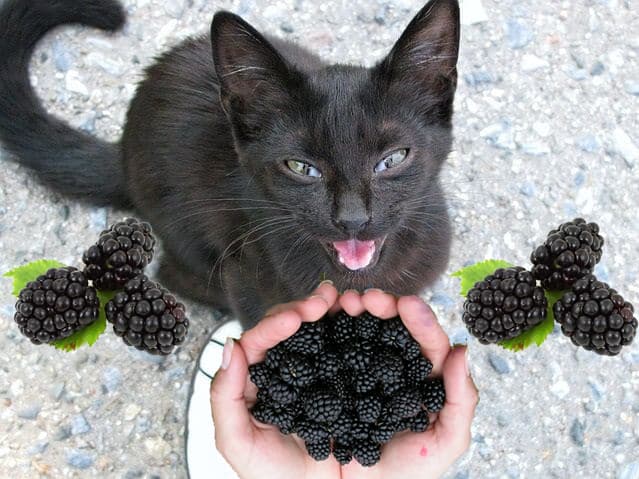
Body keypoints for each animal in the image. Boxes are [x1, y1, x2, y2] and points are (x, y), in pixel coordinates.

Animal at [0, 0, 460, 326]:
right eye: (301, 168)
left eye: (392, 159)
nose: (352, 219)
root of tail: (125, 149)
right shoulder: (246, 277)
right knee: (173, 272)